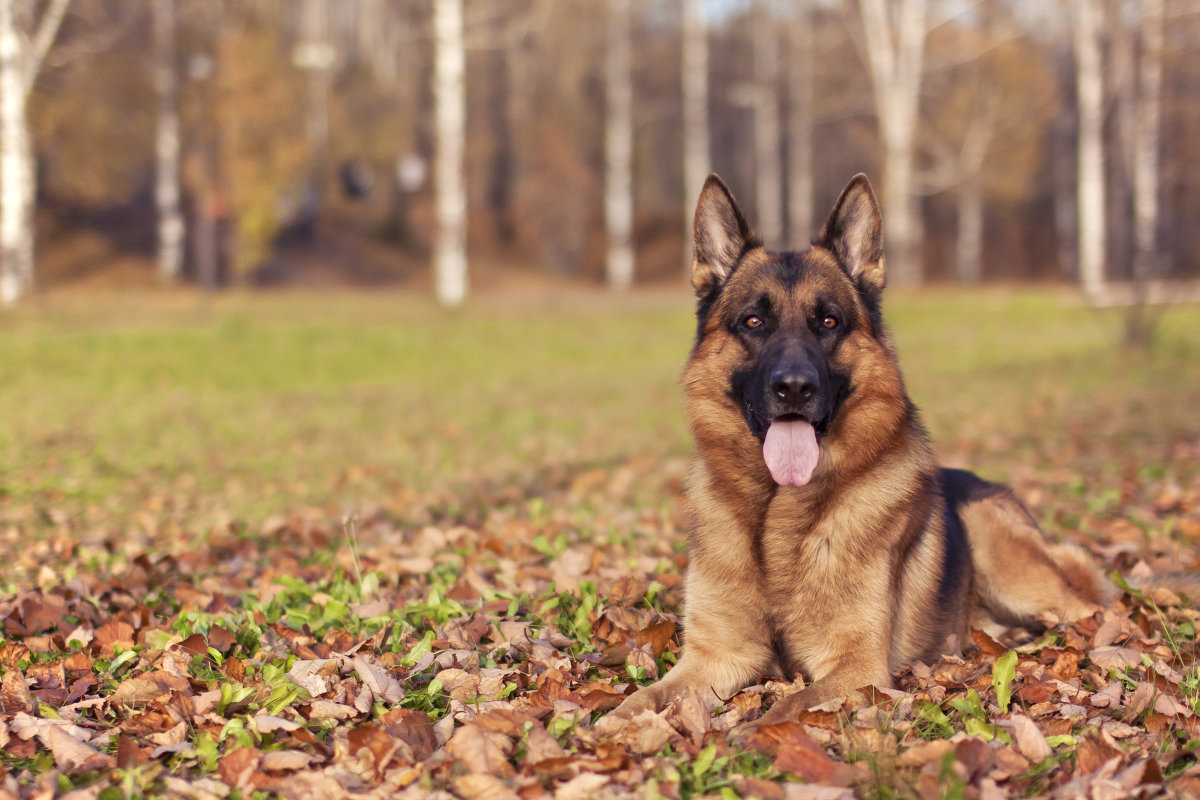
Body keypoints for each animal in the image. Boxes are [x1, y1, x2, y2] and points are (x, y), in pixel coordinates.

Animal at [614, 175, 1118, 724]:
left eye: (829, 322)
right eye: (752, 322)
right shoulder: (714, 658)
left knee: (1093, 611)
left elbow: (781, 711)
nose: (795, 388)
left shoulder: (856, 670)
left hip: (1002, 553)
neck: (777, 514)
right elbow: (642, 699)